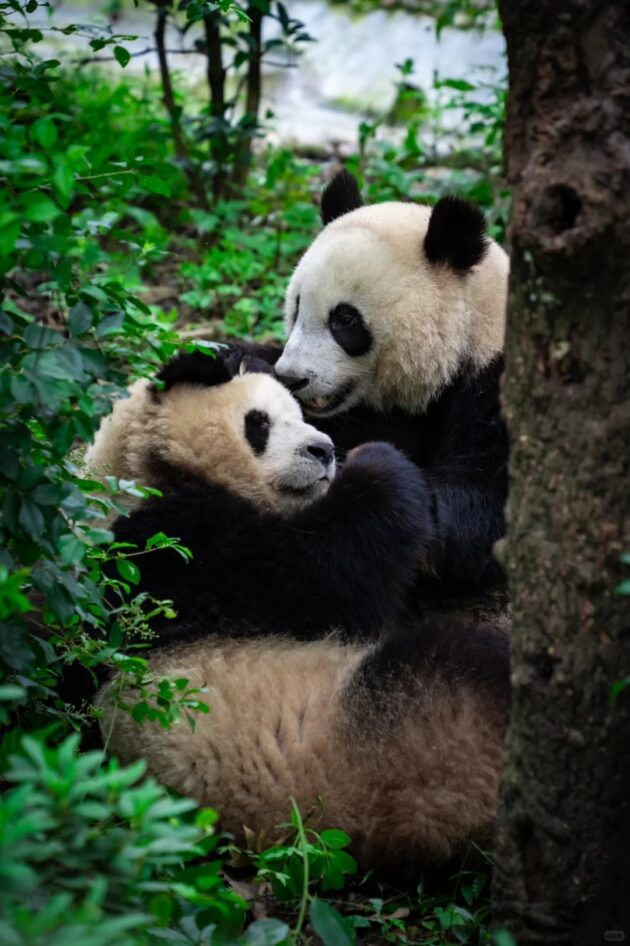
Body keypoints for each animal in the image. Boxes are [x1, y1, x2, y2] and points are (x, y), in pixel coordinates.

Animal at [86, 350, 436, 642]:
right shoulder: (164, 546)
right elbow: (310, 579)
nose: (323, 450)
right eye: (259, 423)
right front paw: (379, 464)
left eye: (299, 417)